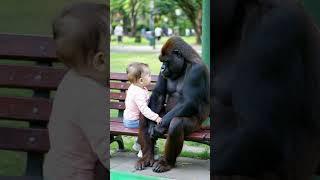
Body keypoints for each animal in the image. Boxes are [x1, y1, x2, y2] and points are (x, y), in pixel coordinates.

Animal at [134, 36, 210, 173]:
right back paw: (147, 157)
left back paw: (167, 162)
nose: (162, 68)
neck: (185, 64)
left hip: (197, 125)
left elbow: (188, 101)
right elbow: (158, 94)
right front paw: (152, 126)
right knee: (144, 117)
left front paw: (158, 128)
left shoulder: (197, 70)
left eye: (166, 61)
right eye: (162, 62)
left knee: (176, 124)